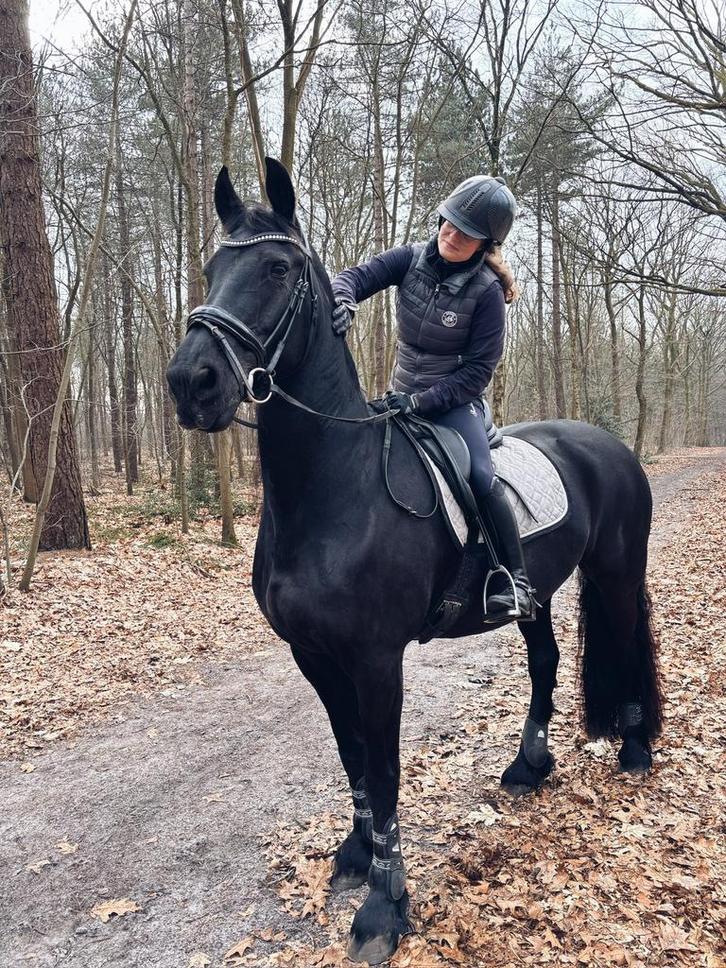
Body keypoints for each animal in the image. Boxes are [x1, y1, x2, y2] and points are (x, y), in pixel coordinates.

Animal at [166, 158, 663, 965]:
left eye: (276, 268)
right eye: (213, 267)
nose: (191, 383)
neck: (336, 491)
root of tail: (609, 445)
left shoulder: (376, 658)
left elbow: (387, 766)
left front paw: (385, 907)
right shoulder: (314, 655)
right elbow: (351, 755)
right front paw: (356, 853)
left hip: (618, 573)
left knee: (627, 639)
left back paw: (637, 748)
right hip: (535, 594)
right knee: (546, 661)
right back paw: (528, 767)